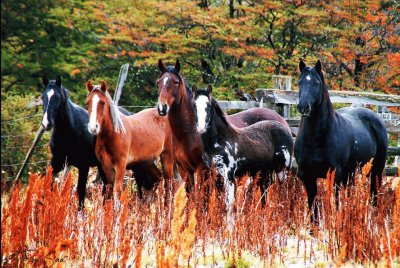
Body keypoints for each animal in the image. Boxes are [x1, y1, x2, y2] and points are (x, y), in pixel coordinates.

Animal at [40, 75, 159, 207]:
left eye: (57, 97)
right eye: (43, 97)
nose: (46, 123)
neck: (70, 130)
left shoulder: (84, 165)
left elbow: (80, 191)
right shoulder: (57, 162)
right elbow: (47, 183)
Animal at [157, 60, 294, 191]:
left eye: (176, 82)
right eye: (158, 82)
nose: (162, 108)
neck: (189, 134)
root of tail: (282, 121)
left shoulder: (203, 170)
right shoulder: (185, 171)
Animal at [192, 85, 292, 219]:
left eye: (208, 105)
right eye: (194, 104)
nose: (201, 128)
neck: (220, 142)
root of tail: (285, 127)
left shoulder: (229, 175)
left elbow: (229, 205)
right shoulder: (216, 175)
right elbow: (219, 202)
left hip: (283, 170)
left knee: (284, 192)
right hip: (265, 171)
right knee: (265, 191)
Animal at [296, 59, 386, 220]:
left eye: (317, 83)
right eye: (299, 82)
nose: (303, 107)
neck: (316, 140)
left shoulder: (335, 174)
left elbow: (335, 204)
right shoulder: (307, 175)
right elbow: (313, 207)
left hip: (376, 170)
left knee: (374, 195)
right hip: (350, 174)